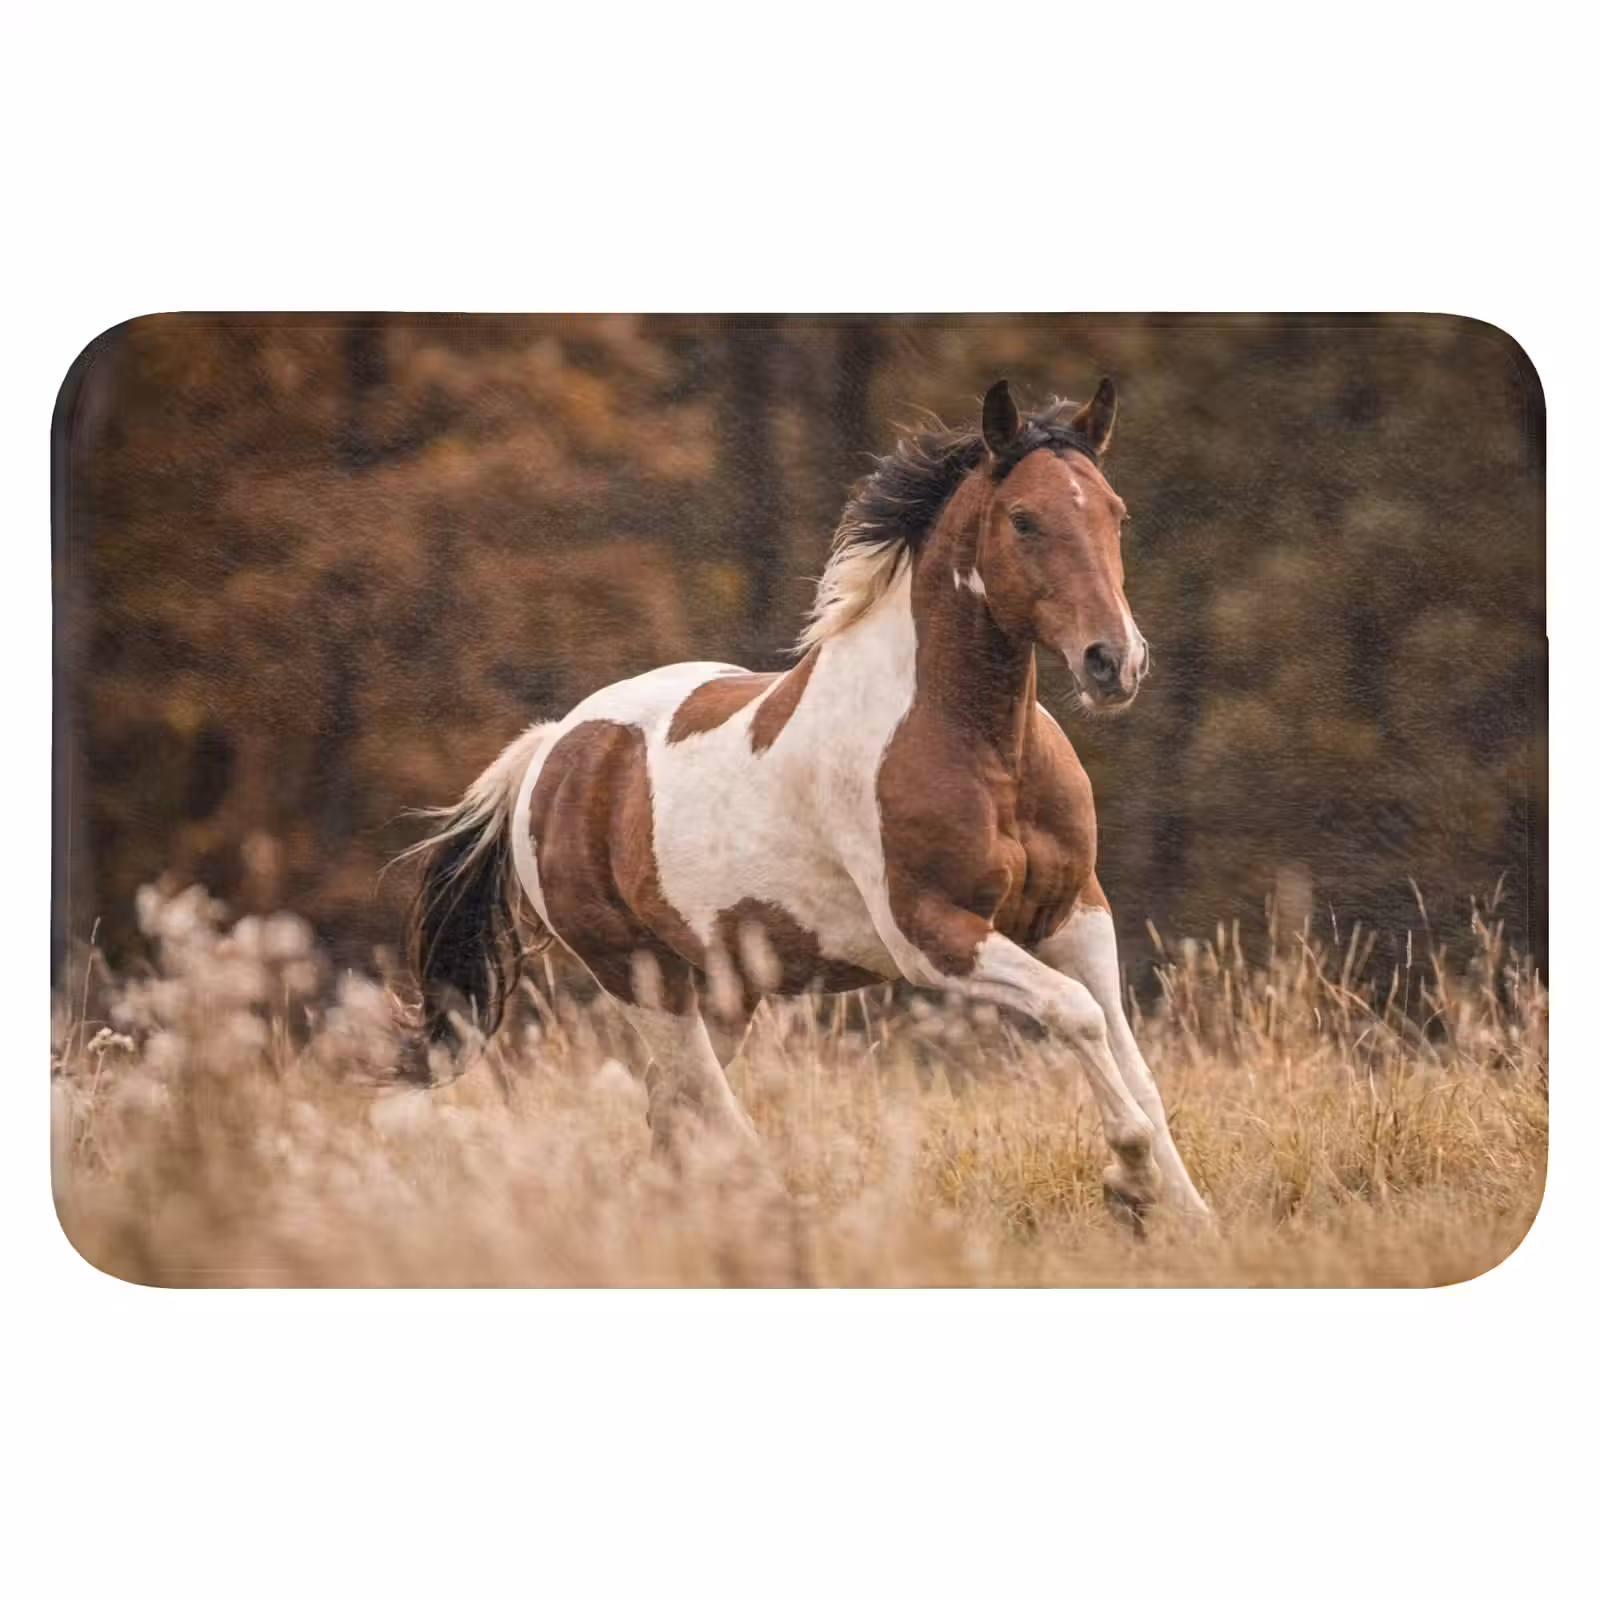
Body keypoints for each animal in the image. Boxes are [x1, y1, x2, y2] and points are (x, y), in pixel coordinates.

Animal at [400, 377, 1211, 1223]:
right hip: (639, 975)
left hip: (725, 986)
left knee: (672, 1113)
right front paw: (1130, 1179)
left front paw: (1190, 1217)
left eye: (1115, 513)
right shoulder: (934, 936)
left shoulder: (1074, 915)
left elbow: (1133, 1063)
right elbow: (1074, 1014)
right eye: (1024, 518)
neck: (986, 751)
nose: (1113, 662)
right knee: (705, 1109)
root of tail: (551, 748)